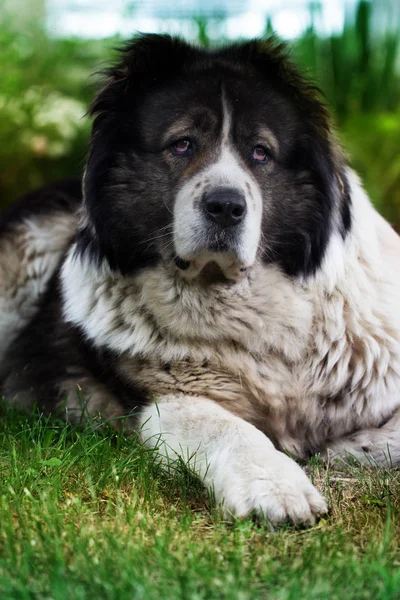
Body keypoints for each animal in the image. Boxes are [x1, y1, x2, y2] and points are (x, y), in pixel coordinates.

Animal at [0, 35, 400, 528]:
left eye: (260, 153)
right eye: (183, 144)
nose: (225, 206)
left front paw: (347, 448)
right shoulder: (165, 403)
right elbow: (229, 428)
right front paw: (279, 488)